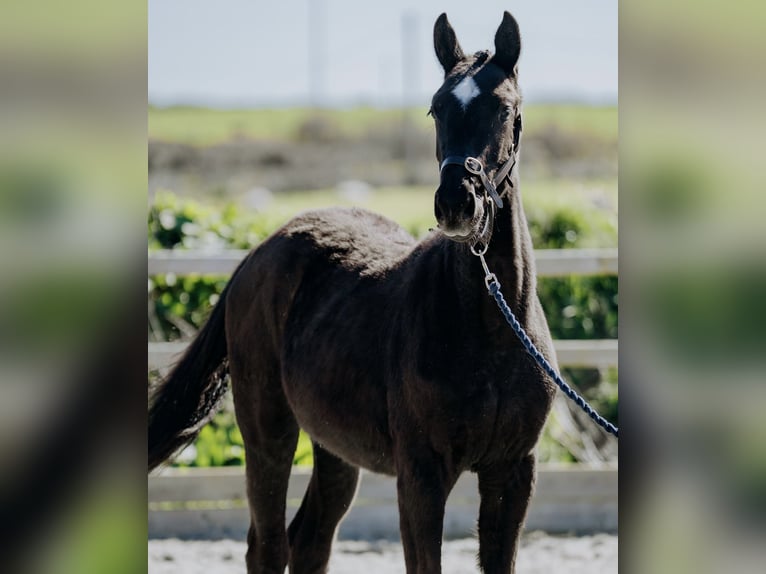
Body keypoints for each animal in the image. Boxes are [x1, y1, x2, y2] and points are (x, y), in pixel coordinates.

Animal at [149, 11, 557, 574]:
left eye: (505, 108)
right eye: (436, 108)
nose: (457, 203)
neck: (490, 327)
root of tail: (259, 252)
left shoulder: (512, 472)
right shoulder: (421, 475)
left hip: (334, 446)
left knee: (310, 539)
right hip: (268, 428)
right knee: (267, 544)